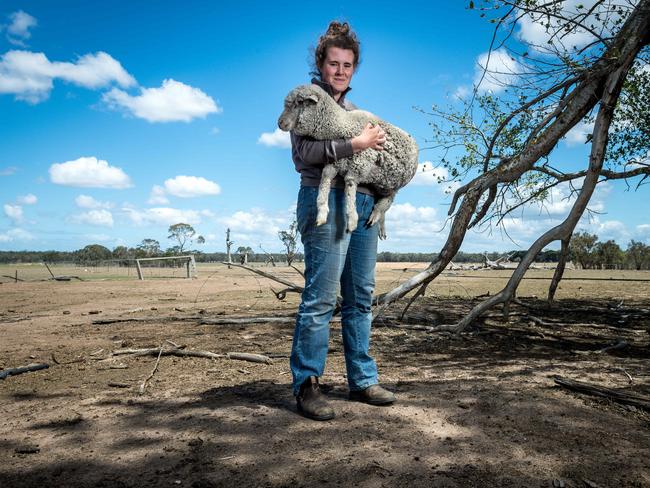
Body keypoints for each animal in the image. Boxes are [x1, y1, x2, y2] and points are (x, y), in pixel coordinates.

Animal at [276, 83, 418, 239]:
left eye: (299, 103)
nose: (280, 123)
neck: (342, 126)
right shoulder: (334, 163)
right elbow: (324, 180)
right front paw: (322, 213)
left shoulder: (358, 167)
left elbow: (349, 190)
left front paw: (352, 221)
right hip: (383, 183)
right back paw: (381, 224)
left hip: (394, 183)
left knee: (388, 200)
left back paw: (376, 214)